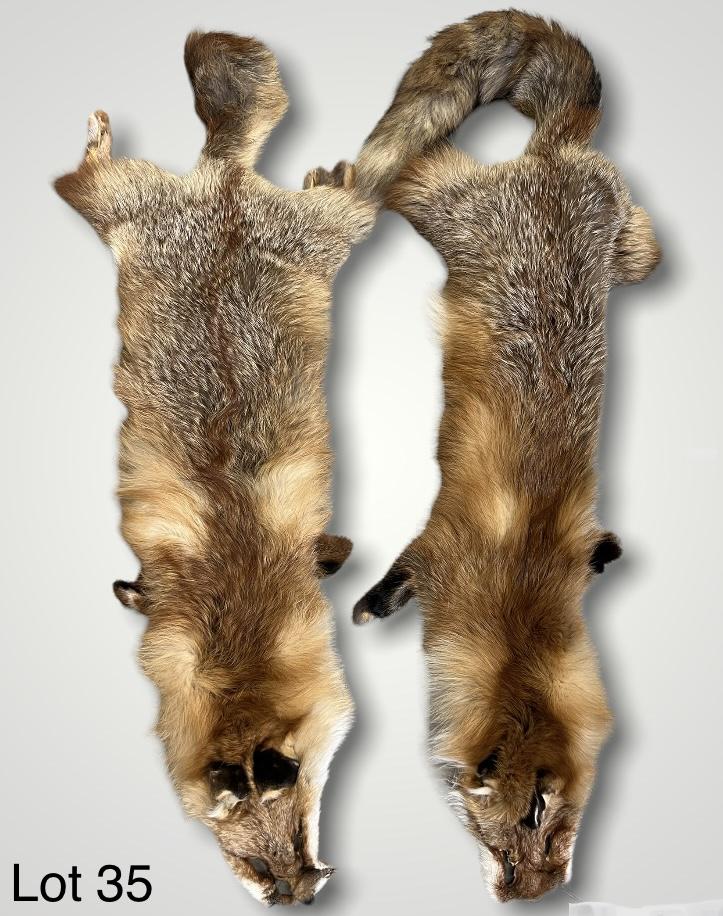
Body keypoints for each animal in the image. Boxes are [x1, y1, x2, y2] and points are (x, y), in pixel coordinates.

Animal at [54, 31, 375, 906]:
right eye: (256, 865)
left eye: (294, 841)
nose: (300, 896)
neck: (235, 656)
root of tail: (223, 185)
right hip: (133, 207)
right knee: (87, 175)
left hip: (314, 234)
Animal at [310, 9, 660, 901]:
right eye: (521, 819)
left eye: (567, 822)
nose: (534, 895)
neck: (520, 591)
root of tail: (556, 156)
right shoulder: (439, 545)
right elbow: (397, 571)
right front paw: (369, 608)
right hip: (436, 202)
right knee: (409, 161)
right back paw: (334, 174)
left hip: (628, 251)